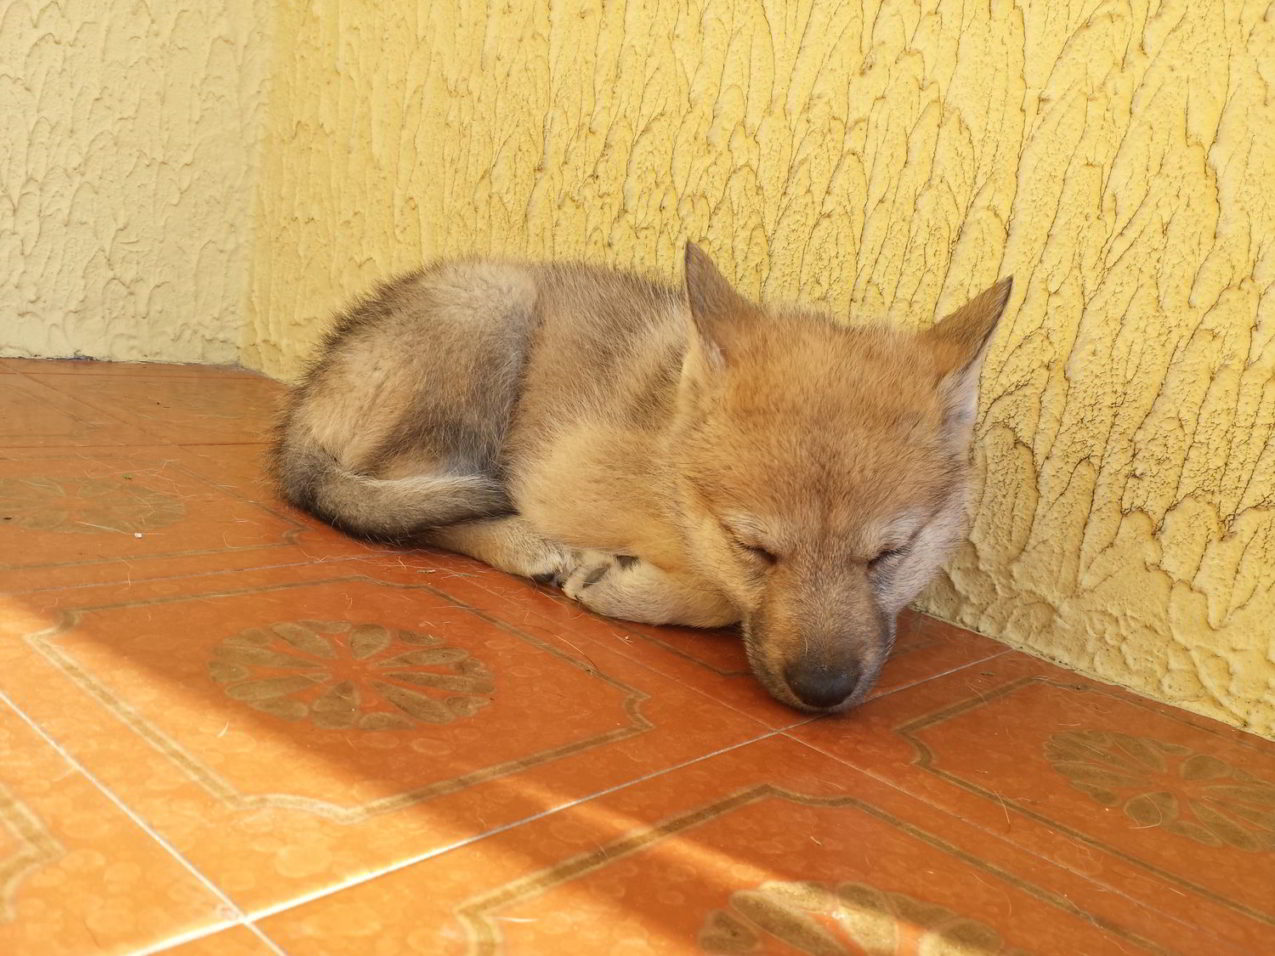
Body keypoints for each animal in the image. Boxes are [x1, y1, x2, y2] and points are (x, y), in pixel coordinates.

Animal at [272, 243, 1011, 712]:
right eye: (753, 547)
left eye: (890, 553)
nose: (822, 690)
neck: (667, 461)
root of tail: (310, 394)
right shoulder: (557, 475)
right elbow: (717, 598)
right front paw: (621, 583)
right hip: (487, 309)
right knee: (412, 505)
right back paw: (530, 548)